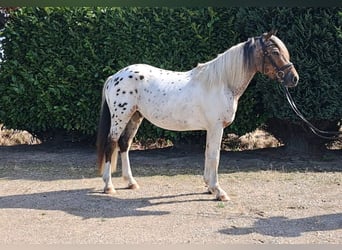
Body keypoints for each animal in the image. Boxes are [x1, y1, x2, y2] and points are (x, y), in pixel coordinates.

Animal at [96, 29, 300, 201]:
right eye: (275, 52)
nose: (294, 78)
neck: (222, 83)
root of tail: (114, 77)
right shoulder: (216, 127)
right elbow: (214, 156)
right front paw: (218, 191)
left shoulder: (212, 128)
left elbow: (208, 153)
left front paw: (209, 187)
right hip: (120, 117)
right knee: (111, 143)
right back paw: (109, 186)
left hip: (135, 116)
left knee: (124, 144)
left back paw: (131, 183)